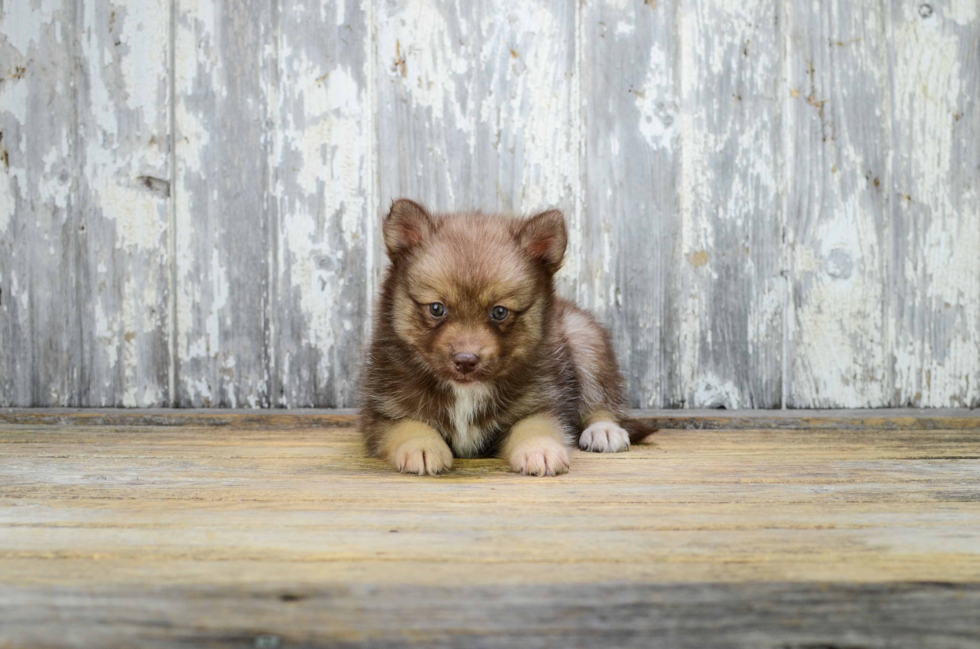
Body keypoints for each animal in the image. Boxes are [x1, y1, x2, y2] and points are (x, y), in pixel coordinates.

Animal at [358, 199, 652, 476]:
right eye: (436, 308)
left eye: (499, 312)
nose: (466, 361)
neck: (466, 392)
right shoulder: (383, 411)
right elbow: (409, 424)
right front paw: (421, 446)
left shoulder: (540, 404)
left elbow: (534, 427)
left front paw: (540, 450)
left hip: (584, 340)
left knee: (602, 400)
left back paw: (605, 430)